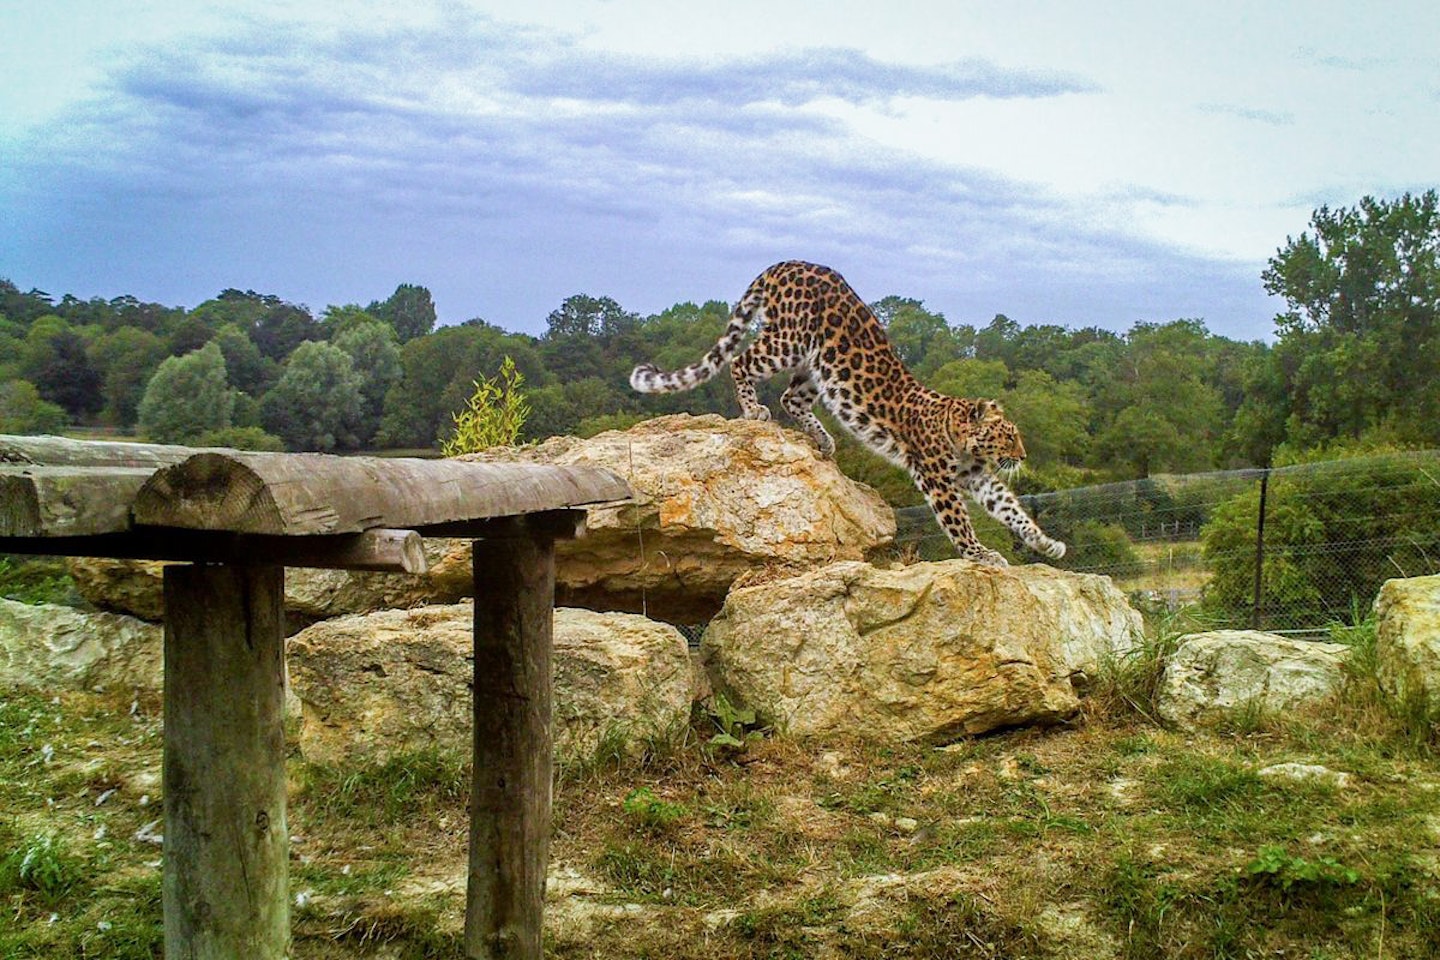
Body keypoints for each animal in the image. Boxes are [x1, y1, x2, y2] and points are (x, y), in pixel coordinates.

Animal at [633, 259, 1071, 567]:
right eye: (1008, 436)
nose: (1022, 456)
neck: (962, 439)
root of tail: (786, 263)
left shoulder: (977, 477)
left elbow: (1011, 509)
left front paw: (1046, 543)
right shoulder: (937, 478)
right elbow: (960, 523)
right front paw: (981, 555)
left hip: (819, 365)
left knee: (791, 397)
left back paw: (823, 440)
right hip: (788, 340)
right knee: (742, 362)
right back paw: (753, 410)